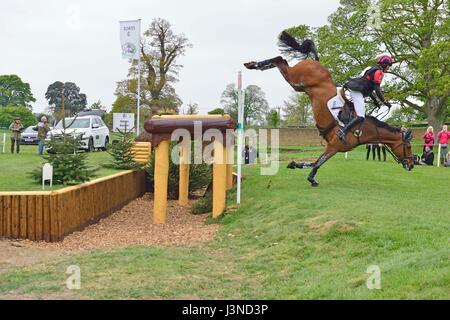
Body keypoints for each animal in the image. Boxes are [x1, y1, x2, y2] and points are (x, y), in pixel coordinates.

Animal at [244, 31, 414, 186]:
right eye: (409, 146)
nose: (412, 164)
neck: (365, 129)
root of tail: (317, 62)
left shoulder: (334, 148)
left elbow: (315, 162)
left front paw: (296, 165)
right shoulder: (333, 146)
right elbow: (319, 162)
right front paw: (311, 179)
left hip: (298, 86)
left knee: (282, 61)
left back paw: (254, 65)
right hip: (296, 80)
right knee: (281, 60)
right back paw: (254, 65)